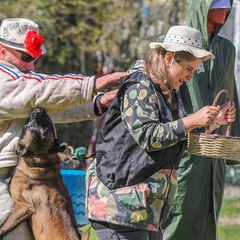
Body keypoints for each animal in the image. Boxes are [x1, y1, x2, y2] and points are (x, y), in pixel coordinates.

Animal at [0, 109, 89, 240]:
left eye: (29, 127)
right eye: (47, 126)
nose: (39, 110)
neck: (41, 160)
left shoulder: (23, 206)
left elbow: (5, 227)